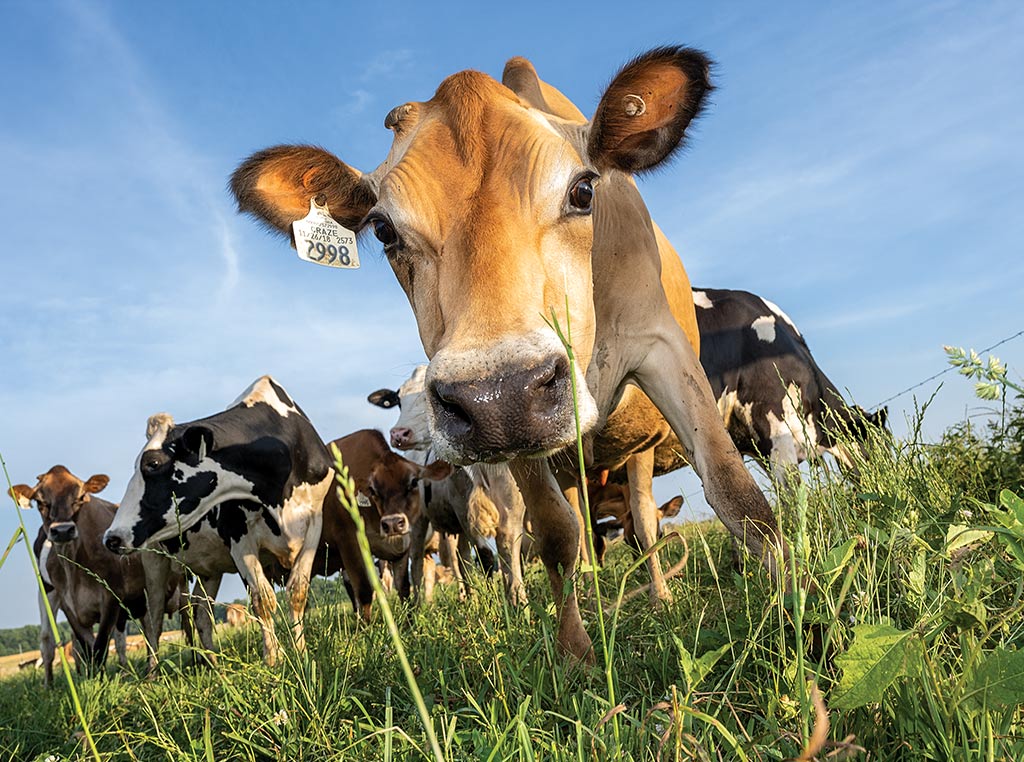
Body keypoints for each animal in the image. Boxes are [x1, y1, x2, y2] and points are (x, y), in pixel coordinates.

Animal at [102, 376, 331, 667]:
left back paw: (213, 665)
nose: (111, 537)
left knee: (201, 613)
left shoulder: (315, 521)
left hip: (209, 568)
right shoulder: (238, 535)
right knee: (154, 619)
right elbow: (262, 599)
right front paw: (274, 660)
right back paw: (155, 670)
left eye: (152, 463)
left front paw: (300, 653)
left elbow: (298, 592)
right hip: (153, 559)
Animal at [368, 366, 528, 602]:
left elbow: (508, 553)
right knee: (417, 563)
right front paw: (493, 602)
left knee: (460, 559)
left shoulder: (512, 508)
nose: (398, 434)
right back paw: (420, 605)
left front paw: (518, 601)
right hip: (418, 522)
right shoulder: (464, 512)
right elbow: (486, 558)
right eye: (398, 401)